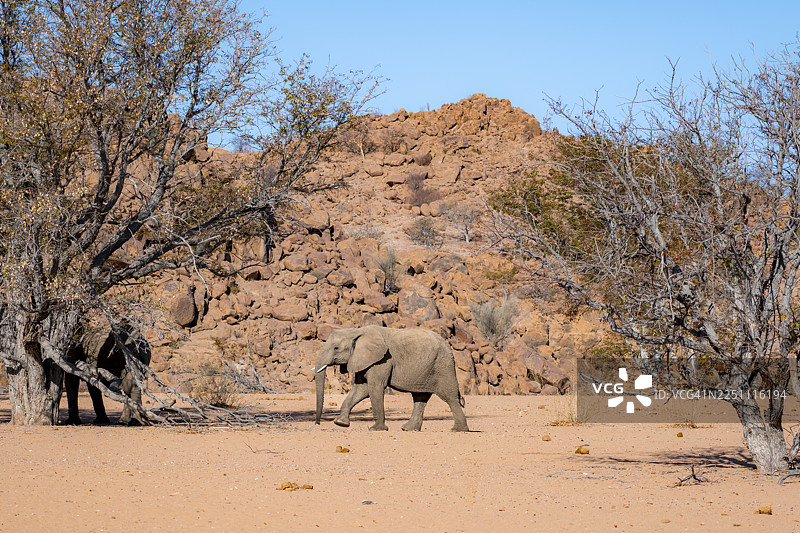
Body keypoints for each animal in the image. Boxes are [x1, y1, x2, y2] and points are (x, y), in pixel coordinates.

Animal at [314, 326, 469, 432]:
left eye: (336, 348)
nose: (317, 423)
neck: (357, 331)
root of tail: (447, 345)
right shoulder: (363, 360)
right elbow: (361, 389)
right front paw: (340, 423)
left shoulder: (382, 360)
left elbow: (375, 387)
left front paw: (376, 429)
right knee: (420, 397)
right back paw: (408, 429)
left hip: (443, 366)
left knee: (449, 397)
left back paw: (458, 430)